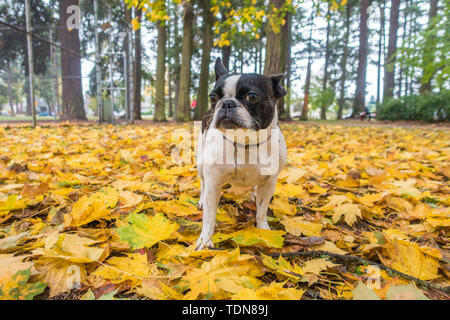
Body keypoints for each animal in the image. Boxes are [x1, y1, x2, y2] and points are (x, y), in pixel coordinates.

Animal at [194, 58, 286, 250]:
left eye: (252, 96)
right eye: (213, 97)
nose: (226, 103)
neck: (245, 142)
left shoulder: (269, 182)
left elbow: (262, 210)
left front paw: (264, 230)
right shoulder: (213, 183)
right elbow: (209, 217)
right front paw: (204, 242)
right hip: (200, 163)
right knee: (203, 183)